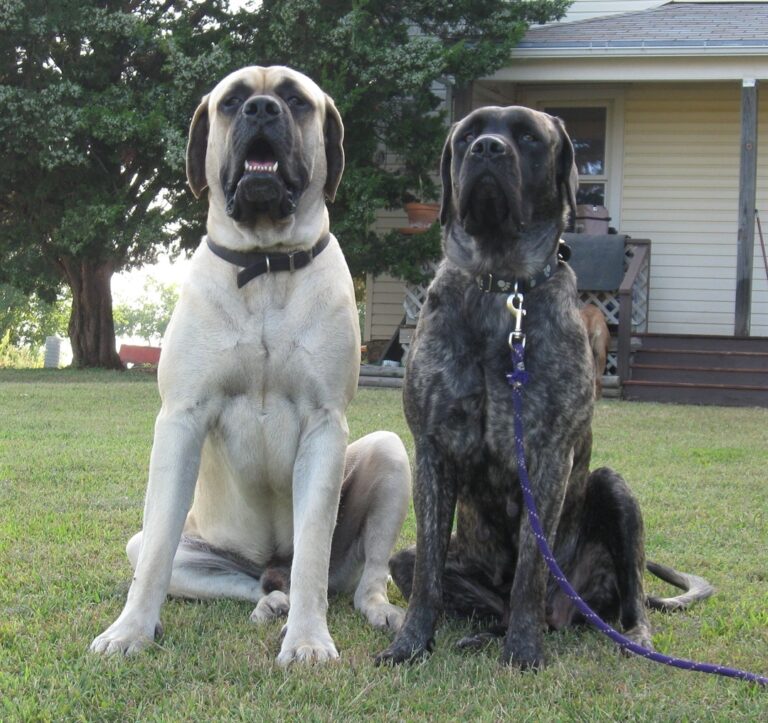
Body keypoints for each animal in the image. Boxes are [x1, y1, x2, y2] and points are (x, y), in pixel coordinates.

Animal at [92, 68, 412, 668]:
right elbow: (155, 556)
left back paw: (375, 609)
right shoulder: (181, 419)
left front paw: (308, 640)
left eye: (295, 100)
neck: (265, 265)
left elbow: (312, 552)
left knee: (363, 575)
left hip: (388, 454)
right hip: (188, 551)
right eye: (232, 100)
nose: (261, 109)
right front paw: (130, 632)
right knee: (233, 578)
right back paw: (269, 602)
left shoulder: (324, 424)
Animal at [376, 104, 712, 672]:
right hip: (417, 559)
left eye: (530, 137)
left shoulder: (550, 457)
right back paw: (483, 634)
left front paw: (524, 653)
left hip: (613, 492)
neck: (502, 287)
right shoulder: (432, 449)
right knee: (465, 590)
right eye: (467, 135)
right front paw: (410, 645)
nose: (487, 148)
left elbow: (531, 571)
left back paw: (630, 639)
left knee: (629, 599)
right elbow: (427, 581)